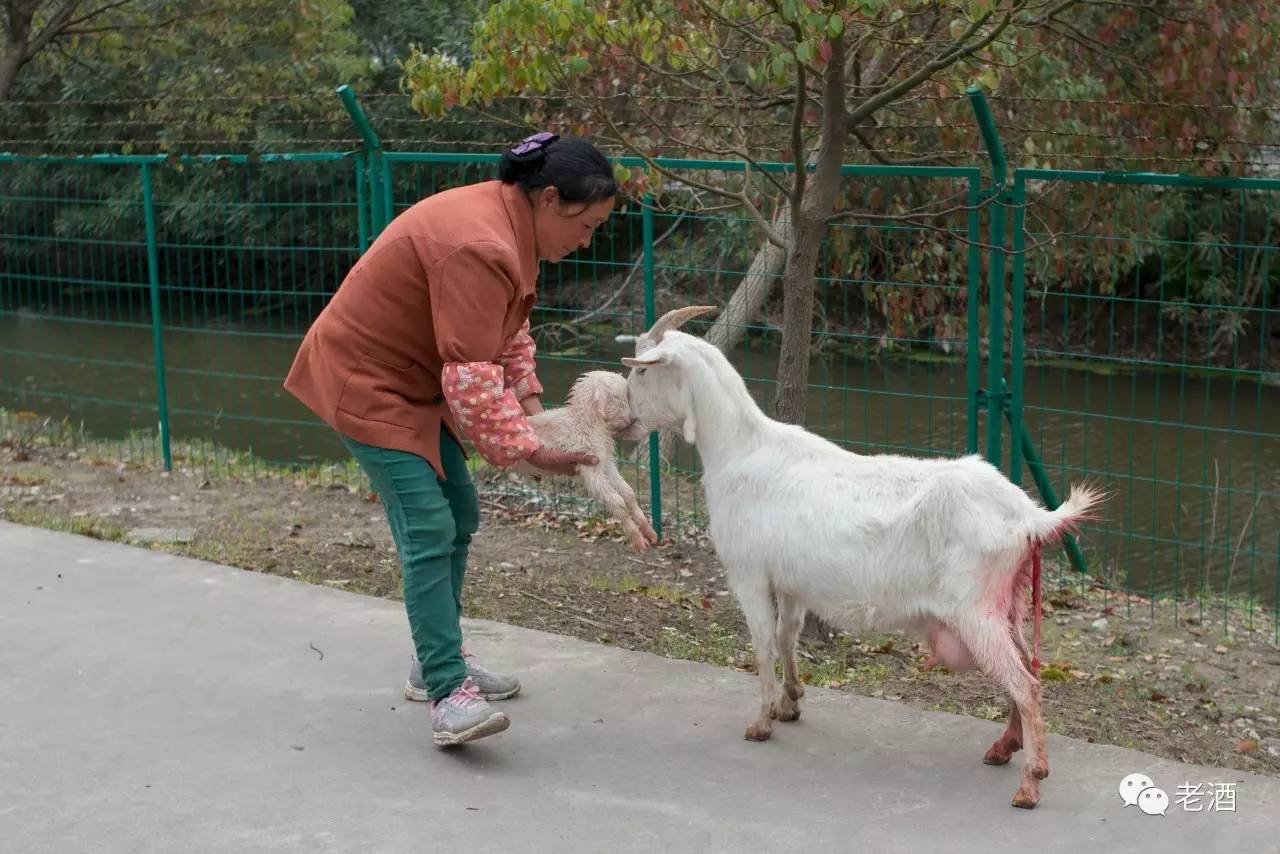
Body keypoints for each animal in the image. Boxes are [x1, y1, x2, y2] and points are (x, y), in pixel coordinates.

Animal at [512, 371, 660, 550]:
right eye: (617, 397)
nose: (631, 420)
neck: (585, 424)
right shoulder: (590, 467)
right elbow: (617, 501)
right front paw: (638, 539)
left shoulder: (606, 463)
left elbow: (628, 493)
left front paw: (649, 531)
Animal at [619, 306, 1100, 809]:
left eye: (641, 371)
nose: (625, 419)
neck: (740, 451)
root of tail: (1028, 517)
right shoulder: (790, 581)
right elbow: (788, 636)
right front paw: (791, 701)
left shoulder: (749, 573)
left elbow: (763, 642)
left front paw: (762, 720)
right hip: (1009, 603)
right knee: (1027, 668)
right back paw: (1004, 747)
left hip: (976, 611)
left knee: (1025, 683)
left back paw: (1030, 783)